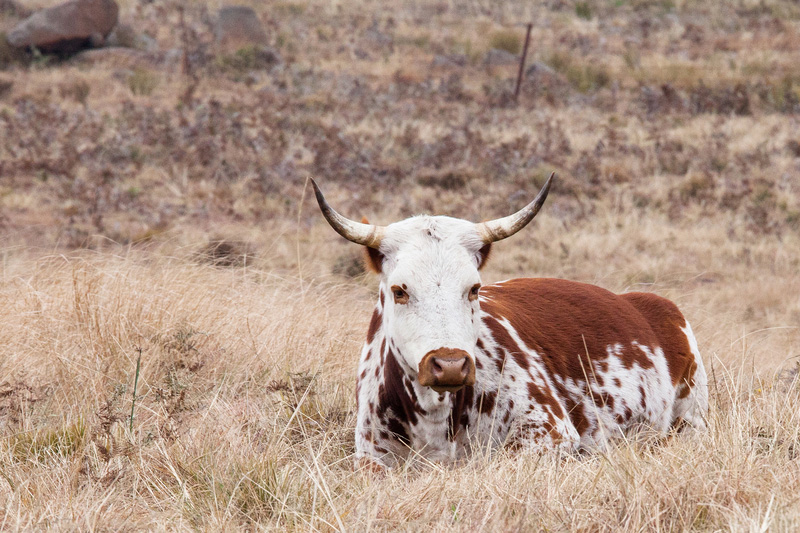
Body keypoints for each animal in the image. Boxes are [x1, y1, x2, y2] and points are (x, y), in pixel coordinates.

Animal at [312, 174, 708, 466]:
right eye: (399, 290)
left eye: (474, 288)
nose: (450, 365)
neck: (433, 415)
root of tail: (645, 303)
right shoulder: (370, 456)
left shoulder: (551, 432)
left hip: (691, 419)